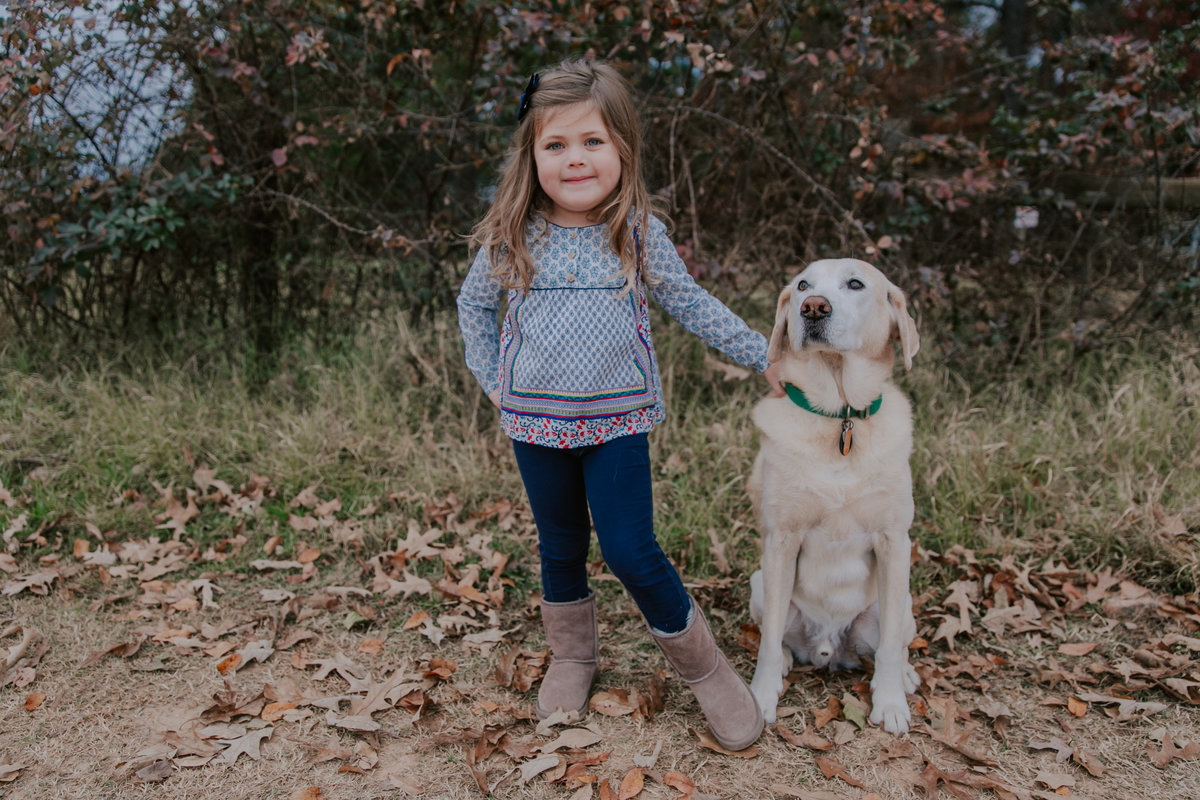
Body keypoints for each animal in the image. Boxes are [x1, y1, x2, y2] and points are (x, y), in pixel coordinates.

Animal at [744, 260, 921, 734]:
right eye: (803, 285)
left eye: (855, 284)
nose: (812, 307)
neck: (840, 419)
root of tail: (828, 648)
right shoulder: (781, 541)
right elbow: (768, 642)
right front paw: (761, 697)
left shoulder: (895, 542)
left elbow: (890, 646)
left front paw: (890, 702)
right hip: (761, 584)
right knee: (777, 637)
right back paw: (788, 662)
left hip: (902, 604)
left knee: (893, 643)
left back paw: (904, 675)